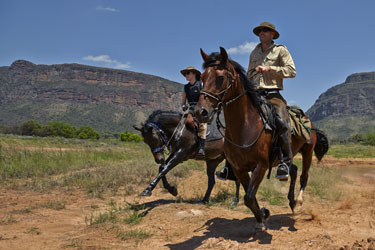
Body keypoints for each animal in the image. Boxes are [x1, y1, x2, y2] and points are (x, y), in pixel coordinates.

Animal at [197, 47, 328, 230]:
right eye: (202, 78)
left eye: (220, 77)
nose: (200, 112)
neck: (245, 126)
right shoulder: (239, 168)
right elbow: (249, 197)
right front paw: (262, 215)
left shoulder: (261, 165)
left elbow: (249, 197)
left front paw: (263, 215)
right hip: (286, 156)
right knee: (293, 170)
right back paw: (292, 201)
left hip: (307, 151)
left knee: (304, 176)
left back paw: (299, 205)